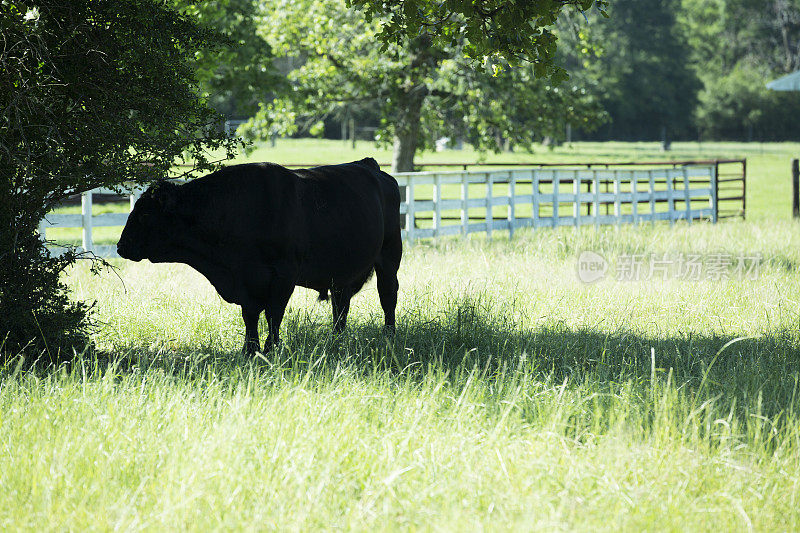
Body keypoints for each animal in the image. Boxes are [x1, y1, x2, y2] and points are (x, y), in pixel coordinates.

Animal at [115, 157, 404, 354]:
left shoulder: (284, 274)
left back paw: (389, 335)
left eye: (144, 214)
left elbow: (274, 314)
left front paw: (269, 348)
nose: (121, 245)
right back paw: (335, 339)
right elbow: (250, 316)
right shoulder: (246, 280)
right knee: (340, 306)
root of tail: (370, 166)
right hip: (341, 273)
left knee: (387, 297)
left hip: (389, 258)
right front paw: (249, 349)